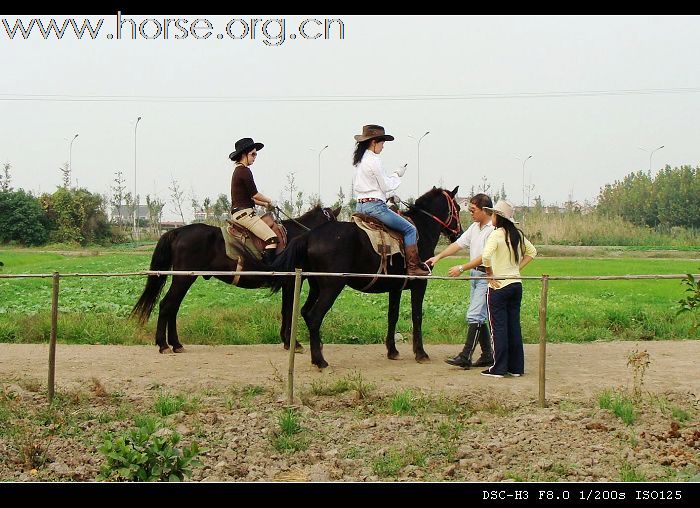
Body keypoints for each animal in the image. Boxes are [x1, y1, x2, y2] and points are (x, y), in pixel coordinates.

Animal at [133, 206, 340, 354]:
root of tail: (177, 232)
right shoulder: (291, 282)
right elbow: (289, 310)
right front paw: (293, 343)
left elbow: (285, 310)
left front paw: (286, 341)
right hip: (183, 279)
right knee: (167, 305)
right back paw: (164, 345)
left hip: (184, 279)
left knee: (172, 307)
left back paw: (175, 344)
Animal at [266, 189, 462, 368]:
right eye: (458, 207)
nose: (459, 234)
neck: (422, 229)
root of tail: (310, 235)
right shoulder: (420, 284)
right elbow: (417, 316)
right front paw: (420, 353)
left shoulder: (395, 288)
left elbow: (393, 316)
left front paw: (392, 351)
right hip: (332, 287)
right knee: (314, 316)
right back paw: (319, 361)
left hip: (316, 286)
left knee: (306, 312)